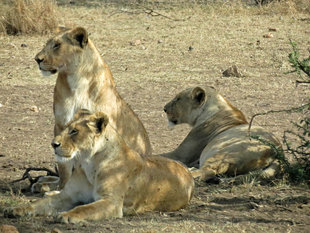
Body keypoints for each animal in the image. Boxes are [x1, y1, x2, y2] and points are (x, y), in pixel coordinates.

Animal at [4, 110, 194, 223]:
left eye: (74, 131)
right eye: (65, 128)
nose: (53, 144)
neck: (88, 162)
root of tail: (186, 170)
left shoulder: (112, 202)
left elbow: (85, 208)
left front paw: (67, 215)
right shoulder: (68, 196)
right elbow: (40, 204)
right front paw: (16, 209)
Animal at [34, 26, 152, 189]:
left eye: (57, 45)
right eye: (47, 43)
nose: (37, 59)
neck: (76, 78)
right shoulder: (60, 123)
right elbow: (64, 165)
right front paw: (61, 187)